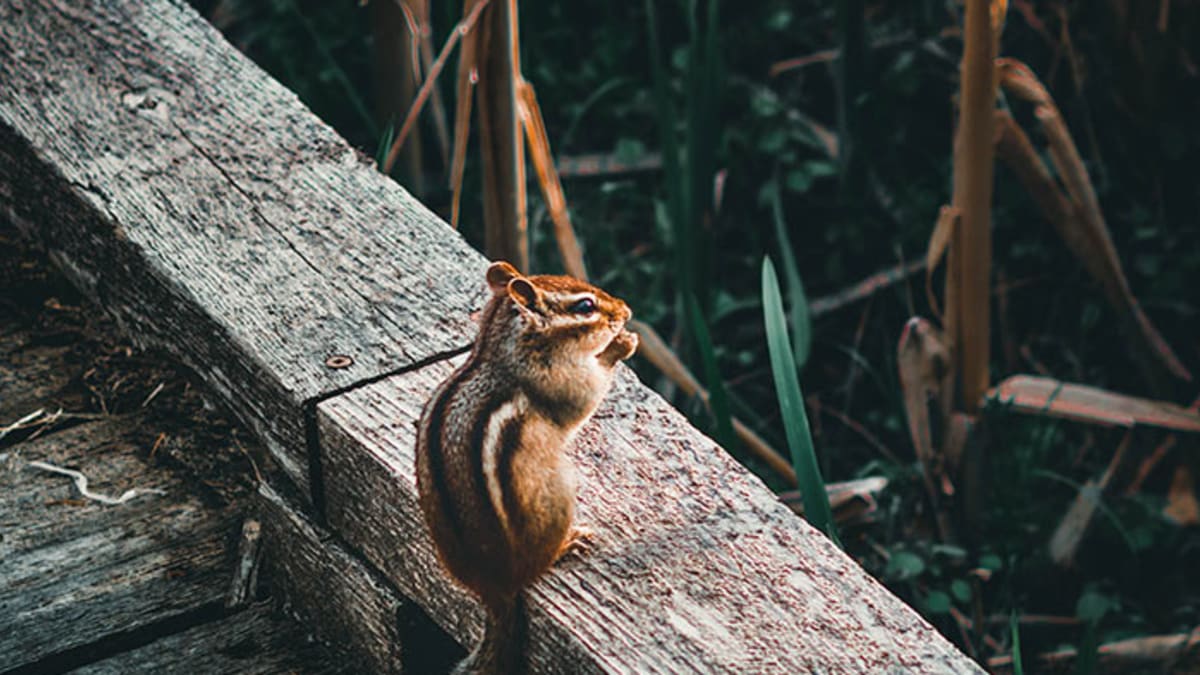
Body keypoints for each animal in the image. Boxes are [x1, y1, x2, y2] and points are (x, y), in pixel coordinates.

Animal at [416, 260, 638, 674]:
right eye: (585, 306)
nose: (626, 311)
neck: (504, 349)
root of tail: (495, 585)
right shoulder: (564, 384)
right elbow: (589, 392)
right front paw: (621, 344)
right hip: (557, 498)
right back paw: (569, 542)